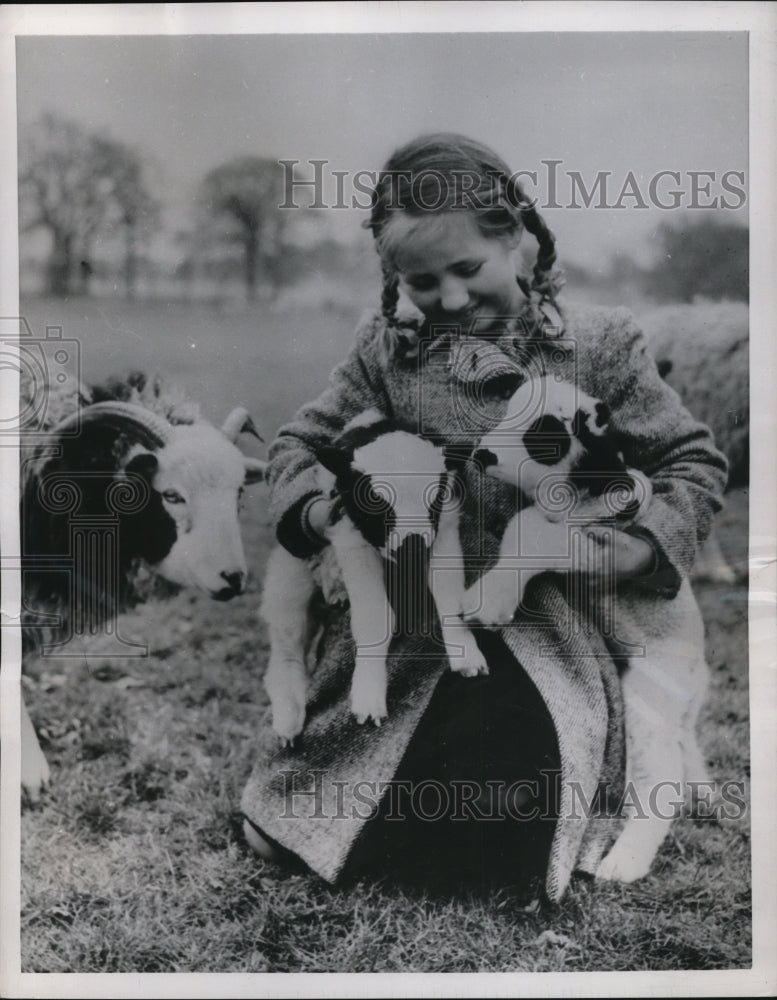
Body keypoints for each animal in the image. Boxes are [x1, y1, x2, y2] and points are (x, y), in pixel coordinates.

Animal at [262, 410, 484, 748]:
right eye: (375, 501)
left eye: (434, 498)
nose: (412, 547)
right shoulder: (352, 540)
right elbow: (374, 618)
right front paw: (368, 695)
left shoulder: (443, 531)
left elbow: (449, 597)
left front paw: (466, 654)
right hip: (289, 576)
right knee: (286, 647)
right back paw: (288, 717)